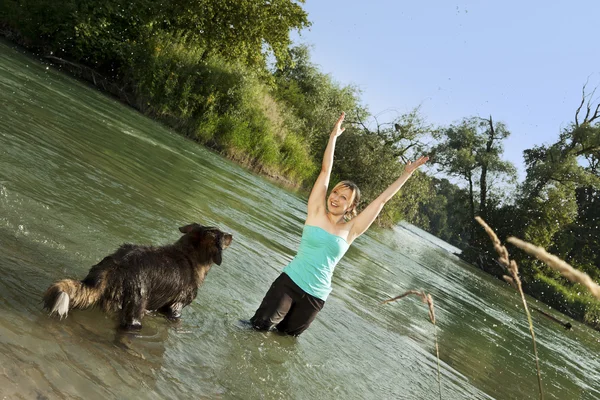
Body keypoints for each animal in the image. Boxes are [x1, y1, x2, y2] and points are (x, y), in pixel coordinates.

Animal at [42, 223, 233, 330]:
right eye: (223, 236)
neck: (189, 255)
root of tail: (116, 265)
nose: (232, 235)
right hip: (136, 307)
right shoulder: (175, 308)